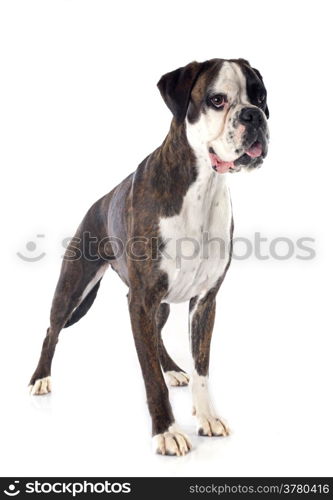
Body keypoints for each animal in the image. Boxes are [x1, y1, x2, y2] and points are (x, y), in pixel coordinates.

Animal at [27, 58, 268, 458]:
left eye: (260, 96)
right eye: (217, 99)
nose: (254, 116)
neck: (202, 186)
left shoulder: (204, 301)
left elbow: (202, 366)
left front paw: (206, 415)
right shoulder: (141, 301)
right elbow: (150, 377)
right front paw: (166, 431)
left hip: (162, 305)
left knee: (156, 337)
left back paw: (173, 368)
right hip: (74, 286)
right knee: (52, 330)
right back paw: (40, 378)